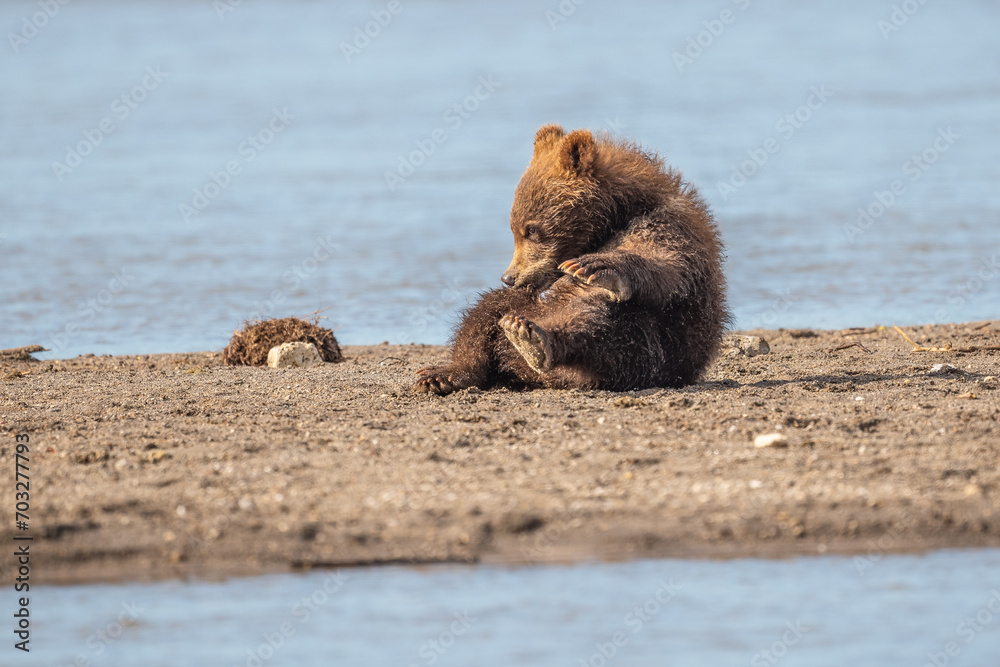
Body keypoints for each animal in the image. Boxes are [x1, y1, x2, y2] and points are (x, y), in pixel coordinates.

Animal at [413, 124, 728, 395]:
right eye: (514, 229)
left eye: (532, 229)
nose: (509, 277)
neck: (619, 215)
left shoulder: (668, 229)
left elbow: (666, 265)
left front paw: (594, 265)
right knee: (485, 314)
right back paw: (445, 373)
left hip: (644, 348)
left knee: (596, 322)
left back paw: (534, 340)